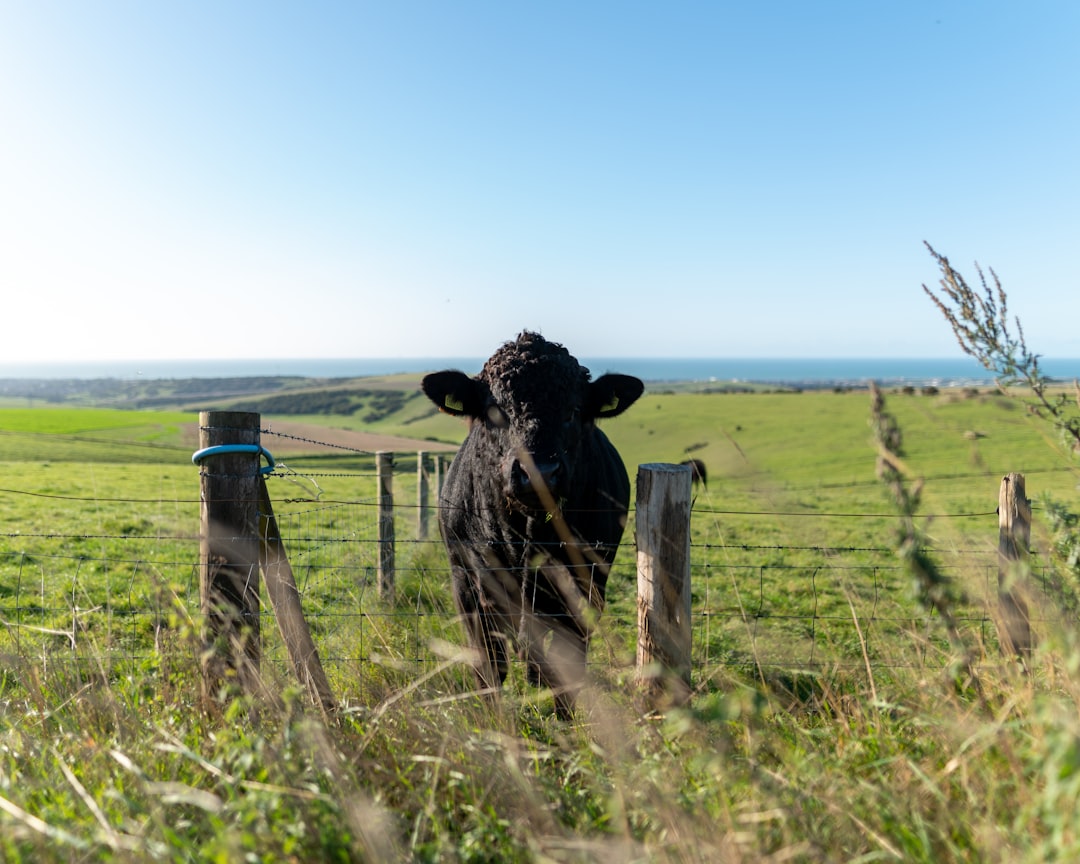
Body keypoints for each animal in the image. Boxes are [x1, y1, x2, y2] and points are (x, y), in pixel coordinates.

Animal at [419, 330, 639, 717]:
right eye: (494, 410)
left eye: (573, 410)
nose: (539, 473)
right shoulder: (466, 584)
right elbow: (490, 666)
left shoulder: (584, 586)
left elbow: (567, 668)